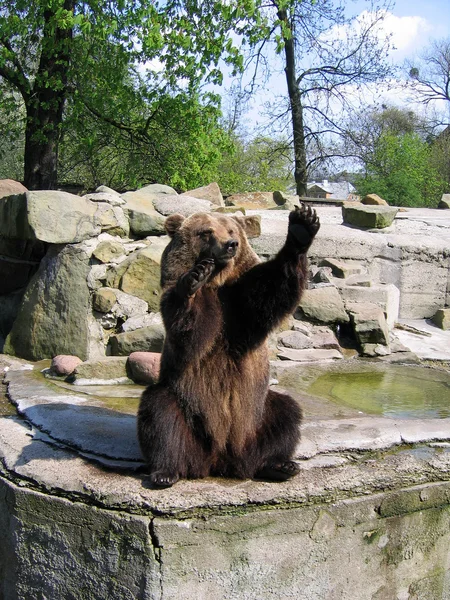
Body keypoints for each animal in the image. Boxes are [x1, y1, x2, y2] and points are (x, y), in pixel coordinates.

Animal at [138, 204, 320, 486]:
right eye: (206, 232)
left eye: (232, 230)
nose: (230, 244)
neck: (219, 280)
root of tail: (221, 459)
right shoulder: (189, 305)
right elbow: (191, 331)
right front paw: (193, 278)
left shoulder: (239, 303)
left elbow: (269, 293)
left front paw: (302, 227)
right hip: (187, 410)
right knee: (160, 413)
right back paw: (165, 472)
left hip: (256, 413)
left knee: (285, 414)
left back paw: (278, 464)